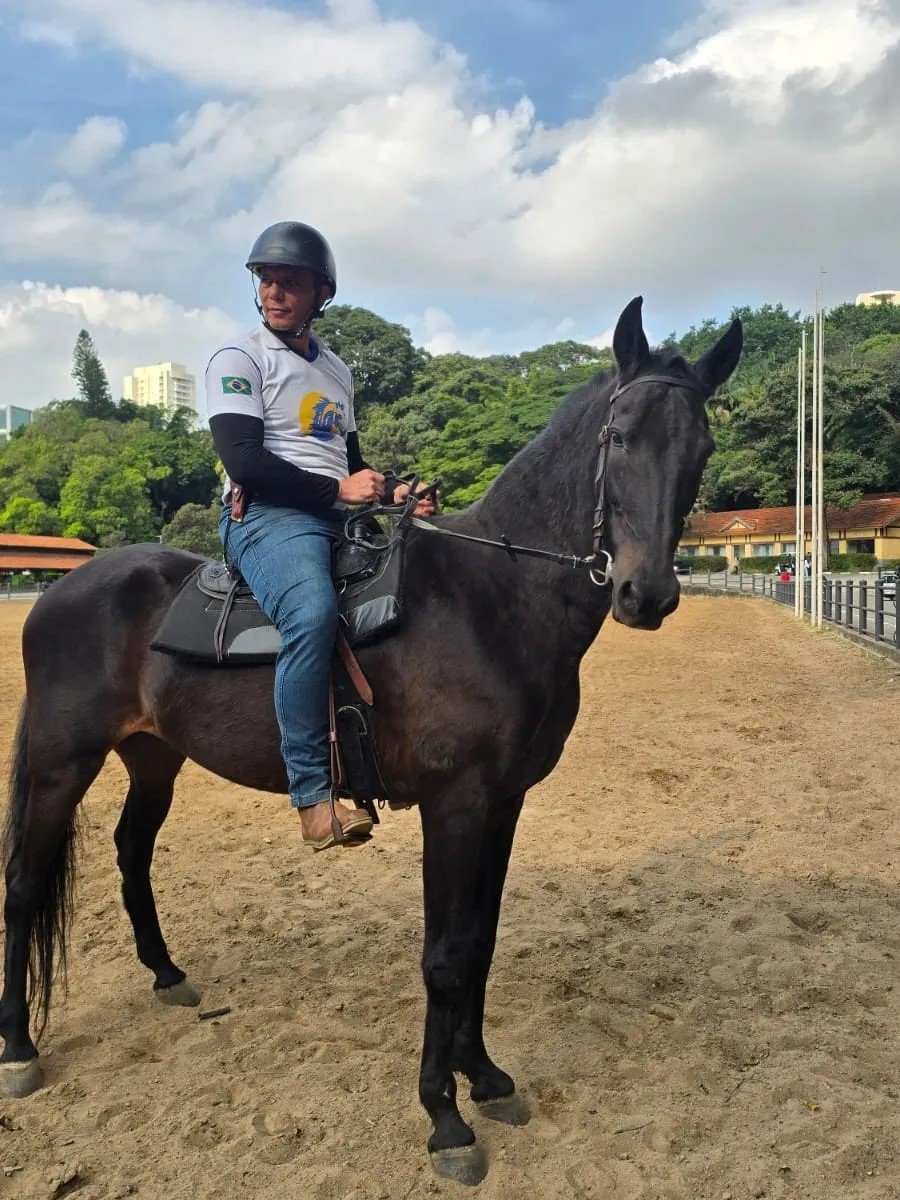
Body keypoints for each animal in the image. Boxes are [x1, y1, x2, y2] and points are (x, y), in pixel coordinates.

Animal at [0, 297, 741, 1185]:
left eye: (701, 447)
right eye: (620, 435)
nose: (647, 593)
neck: (492, 600)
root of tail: (60, 594)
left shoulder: (502, 805)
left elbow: (481, 941)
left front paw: (485, 1076)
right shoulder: (454, 806)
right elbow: (445, 955)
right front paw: (445, 1118)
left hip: (154, 756)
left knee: (131, 850)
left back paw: (168, 974)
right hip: (60, 761)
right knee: (22, 885)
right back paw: (18, 1048)